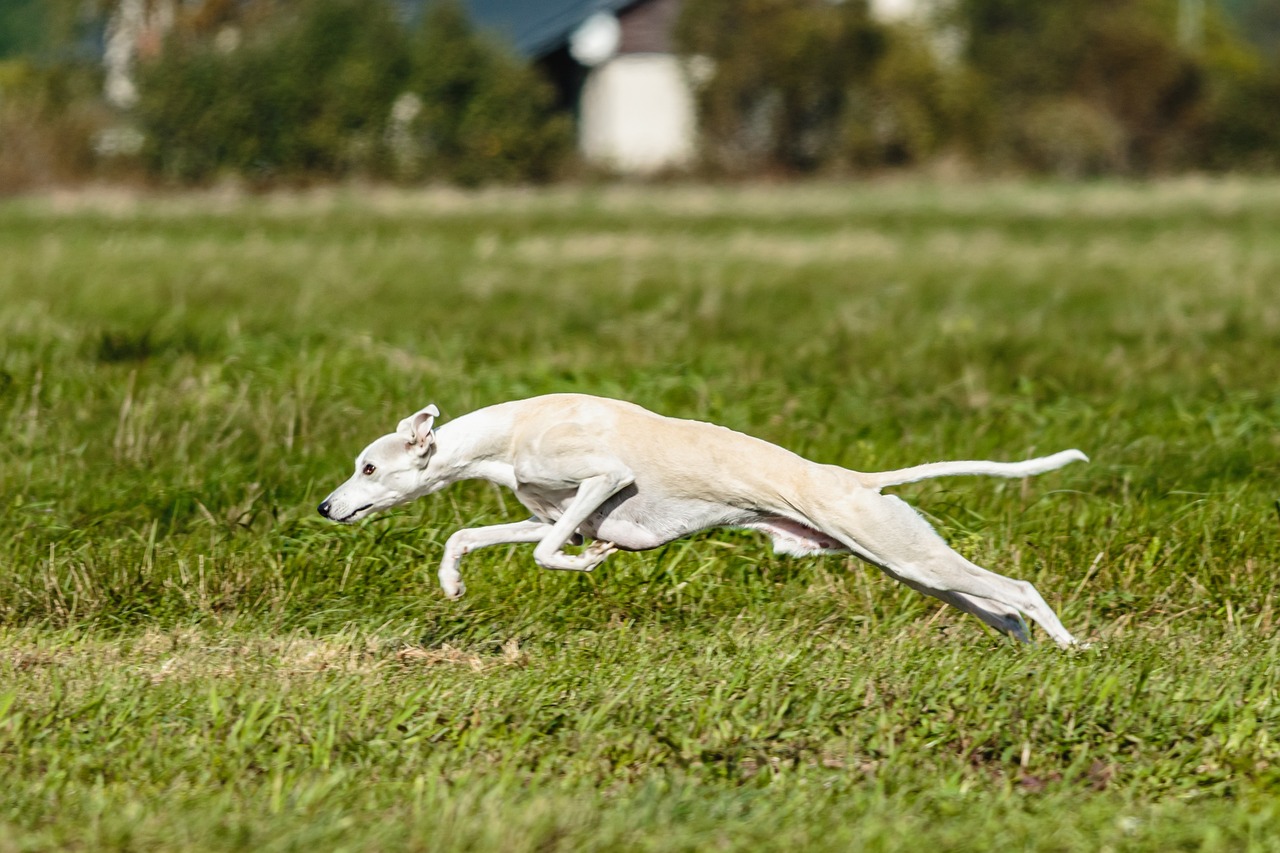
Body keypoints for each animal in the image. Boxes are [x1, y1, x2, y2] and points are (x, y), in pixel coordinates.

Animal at [320, 391, 1090, 645]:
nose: (326, 506)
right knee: (996, 606)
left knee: (1019, 590)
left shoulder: (603, 478)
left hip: (905, 555)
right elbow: (471, 534)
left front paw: (585, 562)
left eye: (367, 467)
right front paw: (452, 582)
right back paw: (1024, 644)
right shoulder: (552, 512)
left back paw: (1070, 646)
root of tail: (857, 481)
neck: (510, 430)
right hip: (910, 566)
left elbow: (549, 551)